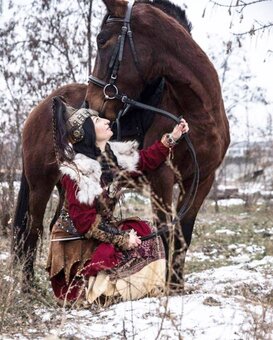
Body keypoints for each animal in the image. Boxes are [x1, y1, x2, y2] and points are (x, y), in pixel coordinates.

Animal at [13, 0, 230, 286]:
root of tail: (40, 109)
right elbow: (165, 231)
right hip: (40, 184)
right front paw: (166, 287)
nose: (91, 104)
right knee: (32, 230)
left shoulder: (202, 179)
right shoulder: (161, 178)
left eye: (102, 40)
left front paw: (176, 284)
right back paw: (29, 287)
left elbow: (183, 232)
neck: (199, 113)